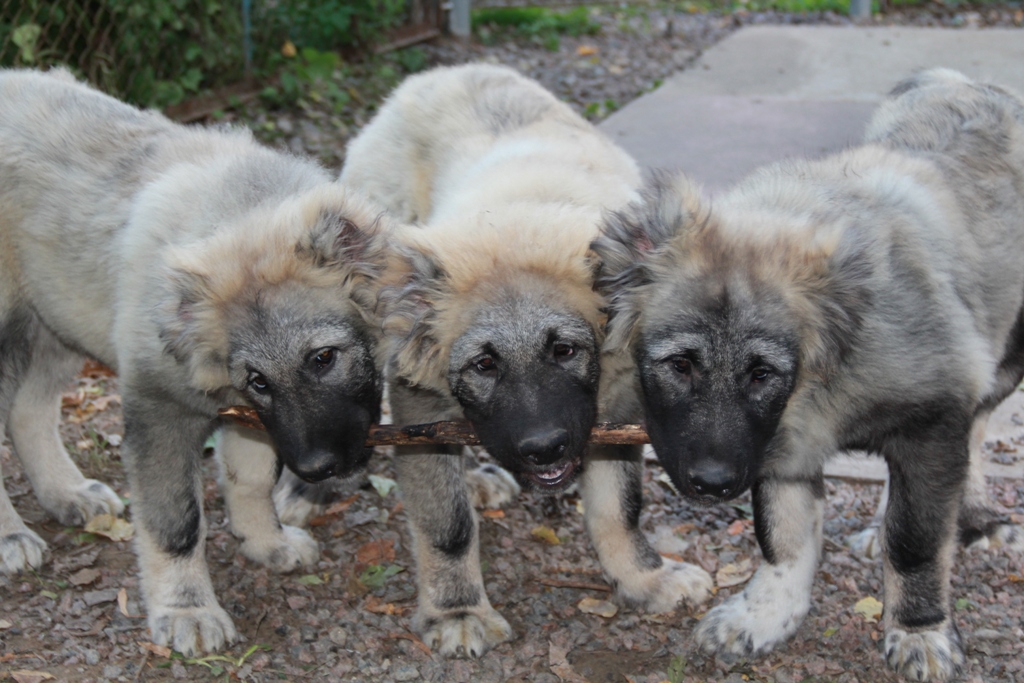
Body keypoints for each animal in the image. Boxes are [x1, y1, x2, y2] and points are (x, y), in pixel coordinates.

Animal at [593, 70, 1024, 683]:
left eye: (761, 374)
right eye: (679, 364)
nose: (712, 484)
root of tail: (966, 81)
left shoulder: (934, 419)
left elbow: (916, 539)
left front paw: (920, 631)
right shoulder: (780, 441)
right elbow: (783, 535)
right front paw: (768, 615)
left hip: (1005, 358)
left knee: (981, 424)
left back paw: (976, 516)